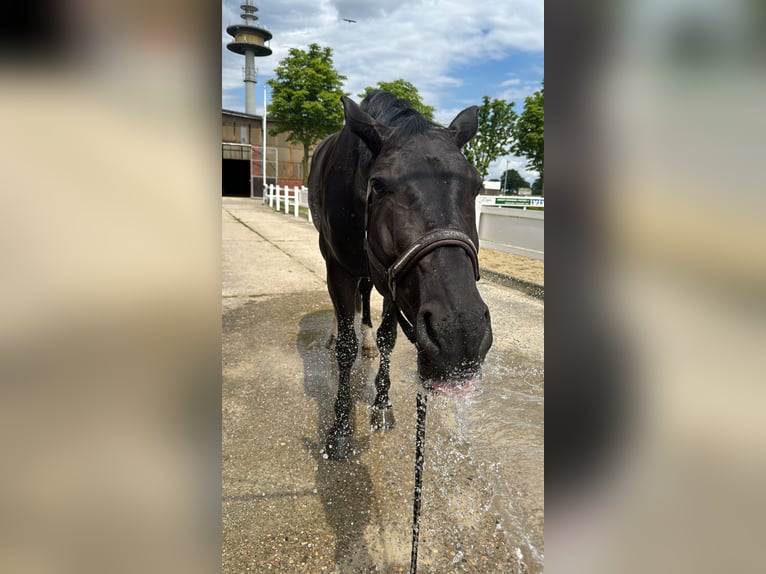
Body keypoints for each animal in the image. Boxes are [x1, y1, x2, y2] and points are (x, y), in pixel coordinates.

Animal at [308, 91, 496, 460]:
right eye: (378, 185)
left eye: (478, 186)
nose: (461, 335)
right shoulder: (341, 269)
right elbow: (346, 349)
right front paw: (340, 428)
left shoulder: (392, 278)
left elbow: (388, 339)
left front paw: (382, 403)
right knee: (341, 310)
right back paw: (336, 331)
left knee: (364, 297)